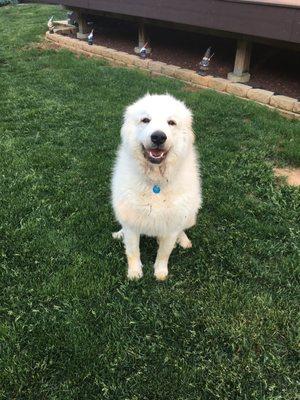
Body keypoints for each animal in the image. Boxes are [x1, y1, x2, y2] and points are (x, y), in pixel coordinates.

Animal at [110, 94, 202, 282]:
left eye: (171, 122)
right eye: (146, 120)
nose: (158, 137)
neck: (156, 184)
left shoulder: (172, 225)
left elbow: (164, 253)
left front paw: (160, 273)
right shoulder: (132, 223)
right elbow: (133, 251)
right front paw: (134, 273)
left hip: (191, 215)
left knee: (182, 229)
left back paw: (183, 240)